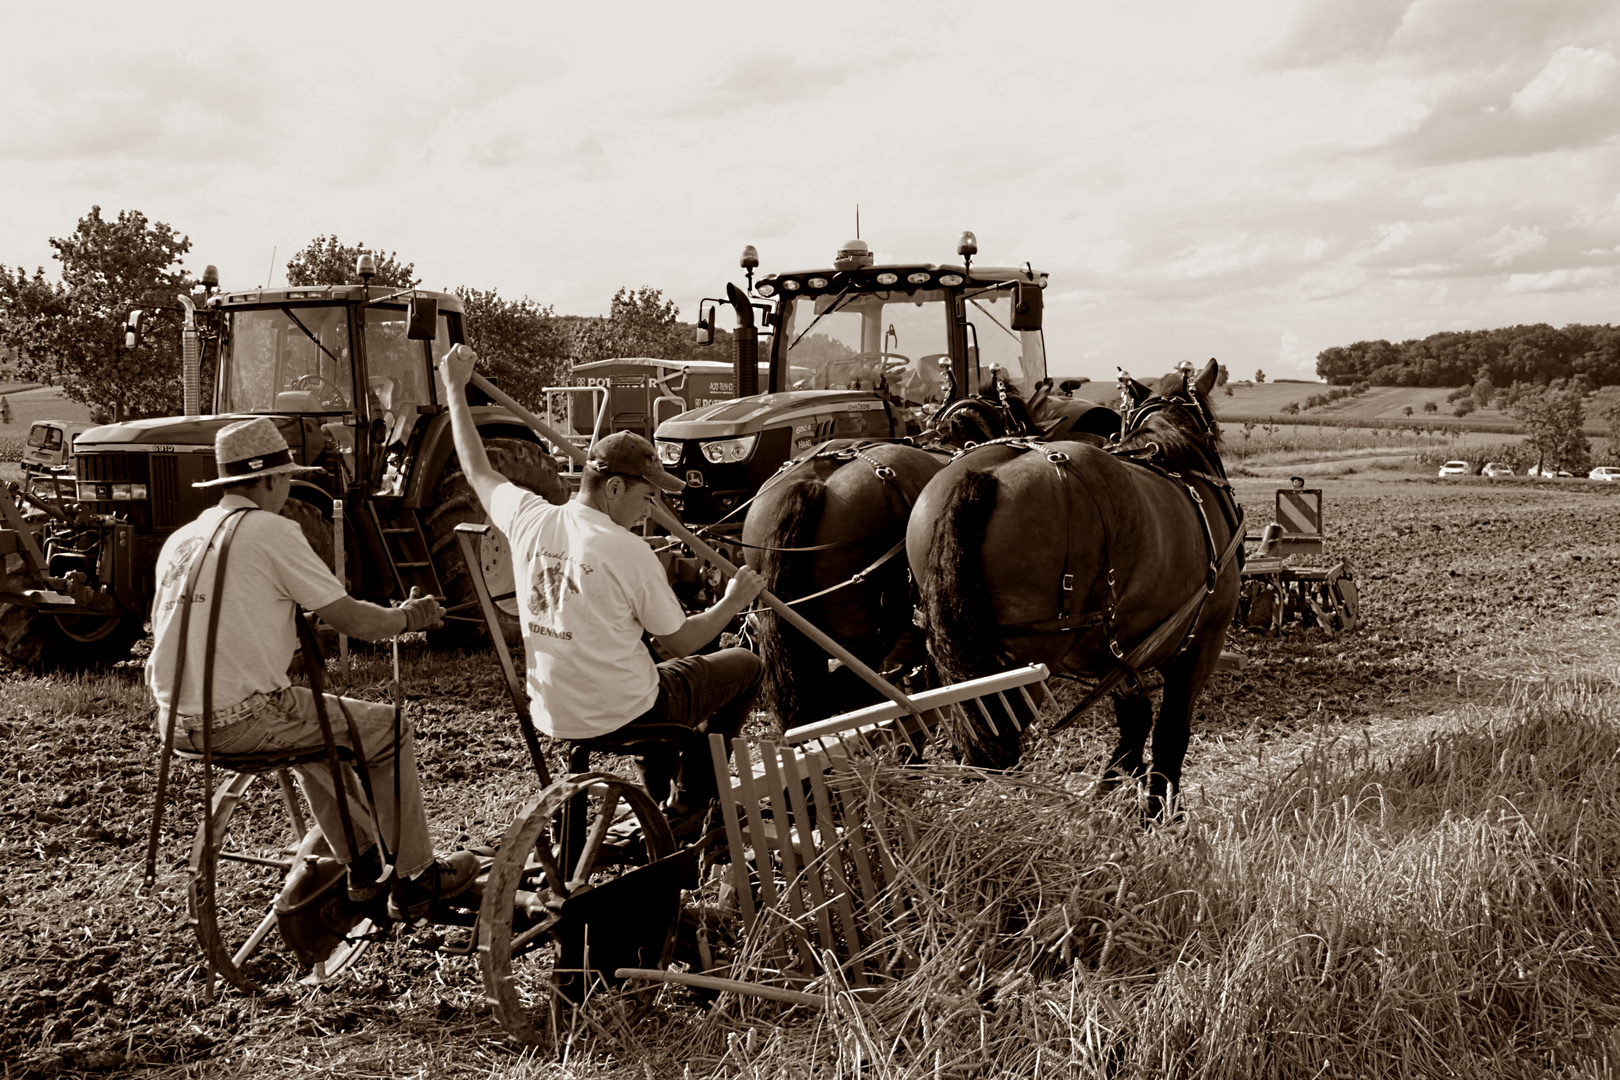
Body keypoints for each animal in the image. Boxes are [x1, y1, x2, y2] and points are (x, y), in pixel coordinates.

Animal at [913, 359, 1237, 816]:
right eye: (1214, 426)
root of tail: (983, 475)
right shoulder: (1202, 643)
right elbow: (1170, 733)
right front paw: (1158, 813)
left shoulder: (1119, 653)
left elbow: (1134, 722)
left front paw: (1114, 788)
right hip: (1020, 666)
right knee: (993, 750)